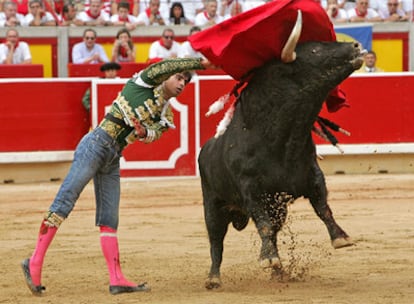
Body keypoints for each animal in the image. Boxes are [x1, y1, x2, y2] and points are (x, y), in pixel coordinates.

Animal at [197, 40, 362, 290]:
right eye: (314, 50)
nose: (355, 46)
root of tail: (205, 149)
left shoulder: (313, 177)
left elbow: (323, 208)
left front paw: (341, 238)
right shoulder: (251, 191)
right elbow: (262, 224)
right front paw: (268, 259)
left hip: (278, 209)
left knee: (272, 232)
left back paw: (279, 271)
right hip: (213, 205)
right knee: (216, 241)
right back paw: (214, 279)